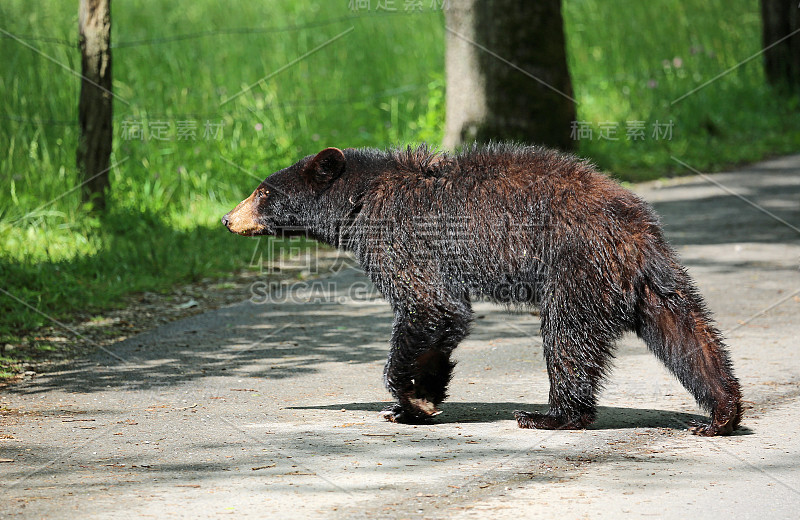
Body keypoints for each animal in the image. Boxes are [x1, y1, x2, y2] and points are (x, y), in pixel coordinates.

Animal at [222, 142, 740, 434]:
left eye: (263, 192)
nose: (227, 217)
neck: (359, 201)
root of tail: (634, 229)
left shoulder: (401, 237)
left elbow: (429, 306)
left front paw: (407, 397)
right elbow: (443, 324)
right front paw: (417, 402)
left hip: (577, 269)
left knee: (567, 338)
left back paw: (553, 415)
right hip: (656, 282)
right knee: (690, 334)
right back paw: (722, 414)